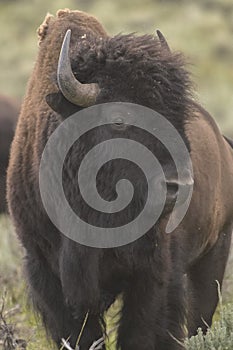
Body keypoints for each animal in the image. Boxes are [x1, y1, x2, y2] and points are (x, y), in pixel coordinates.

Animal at [6, 7, 233, 350]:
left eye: (177, 116)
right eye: (119, 120)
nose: (177, 186)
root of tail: (224, 144)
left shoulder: (150, 274)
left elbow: (139, 331)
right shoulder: (46, 271)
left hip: (213, 255)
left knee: (199, 318)